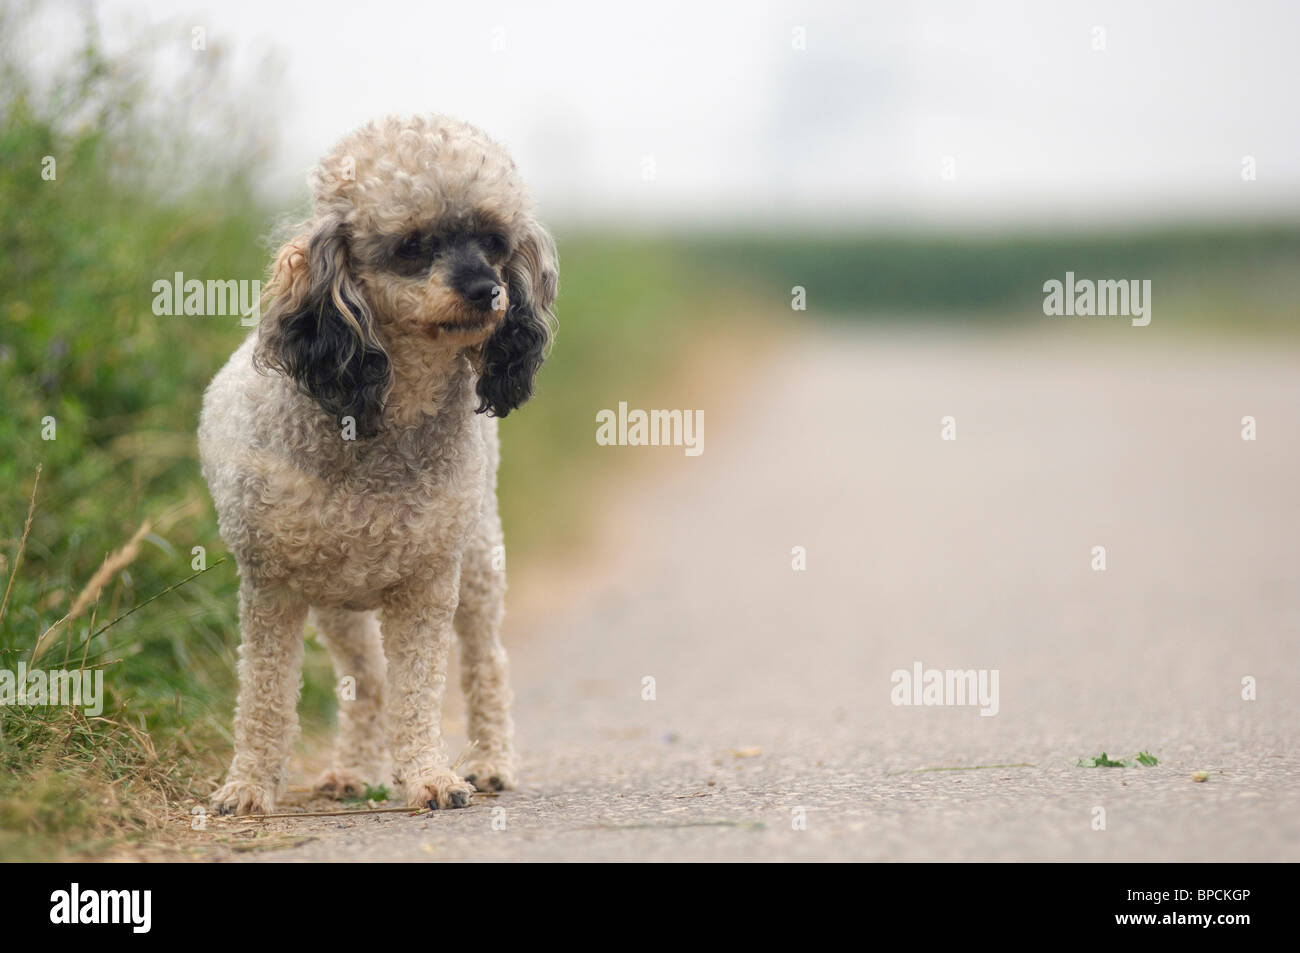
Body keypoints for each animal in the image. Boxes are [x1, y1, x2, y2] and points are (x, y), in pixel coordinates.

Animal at [200, 111, 556, 811]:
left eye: (495, 241)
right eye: (412, 245)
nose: (488, 291)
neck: (383, 412)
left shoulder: (427, 583)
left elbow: (419, 692)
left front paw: (431, 777)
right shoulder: (272, 587)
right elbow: (264, 698)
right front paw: (248, 786)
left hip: (477, 565)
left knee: (485, 664)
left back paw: (490, 761)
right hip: (337, 604)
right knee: (365, 681)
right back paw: (353, 771)